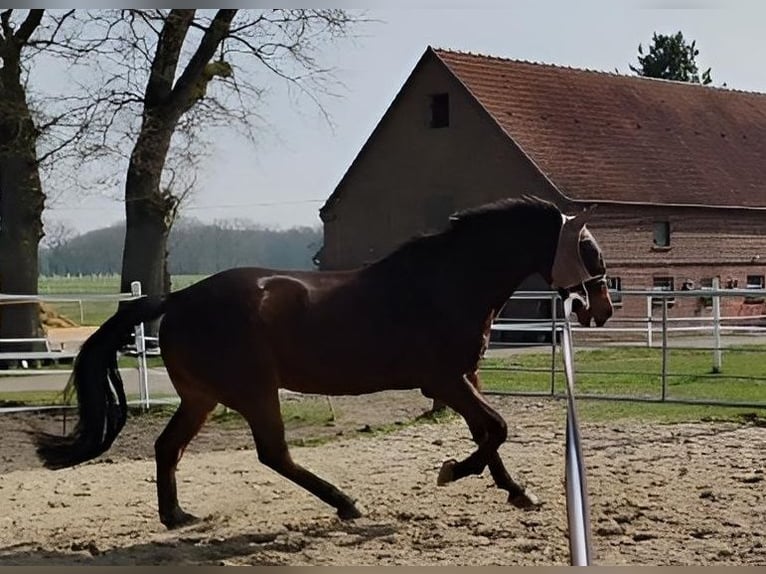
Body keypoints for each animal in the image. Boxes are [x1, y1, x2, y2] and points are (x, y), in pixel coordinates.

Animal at [34, 195, 613, 529]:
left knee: (167, 447)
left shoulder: (464, 378)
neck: (449, 281)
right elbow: (496, 429)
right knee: (273, 454)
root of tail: (177, 300)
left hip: (203, 397)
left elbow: (489, 434)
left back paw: (176, 516)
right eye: (590, 251)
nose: (602, 309)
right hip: (254, 392)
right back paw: (346, 503)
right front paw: (452, 472)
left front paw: (517, 492)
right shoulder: (445, 380)